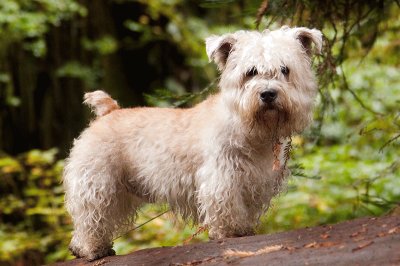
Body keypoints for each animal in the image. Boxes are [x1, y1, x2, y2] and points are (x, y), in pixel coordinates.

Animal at [64, 26, 324, 260]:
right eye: (250, 72)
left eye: (285, 69)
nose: (268, 94)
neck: (249, 129)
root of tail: (108, 112)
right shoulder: (222, 177)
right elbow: (226, 207)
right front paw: (230, 232)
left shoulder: (256, 181)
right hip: (97, 184)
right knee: (90, 218)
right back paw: (92, 249)